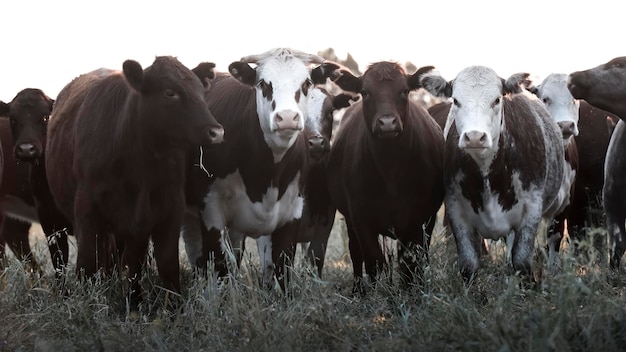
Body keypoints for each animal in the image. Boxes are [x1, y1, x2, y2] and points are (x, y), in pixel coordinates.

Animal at [46, 57, 223, 308]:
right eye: (170, 92)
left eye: (200, 91)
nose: (216, 132)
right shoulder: (87, 214)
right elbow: (87, 265)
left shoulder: (168, 212)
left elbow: (164, 266)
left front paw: (169, 308)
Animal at [182, 48, 342, 290]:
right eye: (263, 84)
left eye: (306, 83)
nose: (287, 118)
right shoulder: (211, 213)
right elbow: (219, 270)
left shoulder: (292, 214)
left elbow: (282, 270)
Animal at [326, 62, 444, 292]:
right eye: (365, 92)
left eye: (404, 91)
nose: (387, 123)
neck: (390, 169)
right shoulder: (360, 216)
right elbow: (373, 260)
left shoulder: (420, 217)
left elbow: (410, 261)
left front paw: (411, 293)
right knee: (356, 253)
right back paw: (359, 290)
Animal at [416, 64, 564, 282]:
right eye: (455, 100)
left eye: (496, 100)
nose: (474, 137)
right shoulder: (456, 210)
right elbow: (468, 264)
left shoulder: (531, 210)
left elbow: (521, 261)